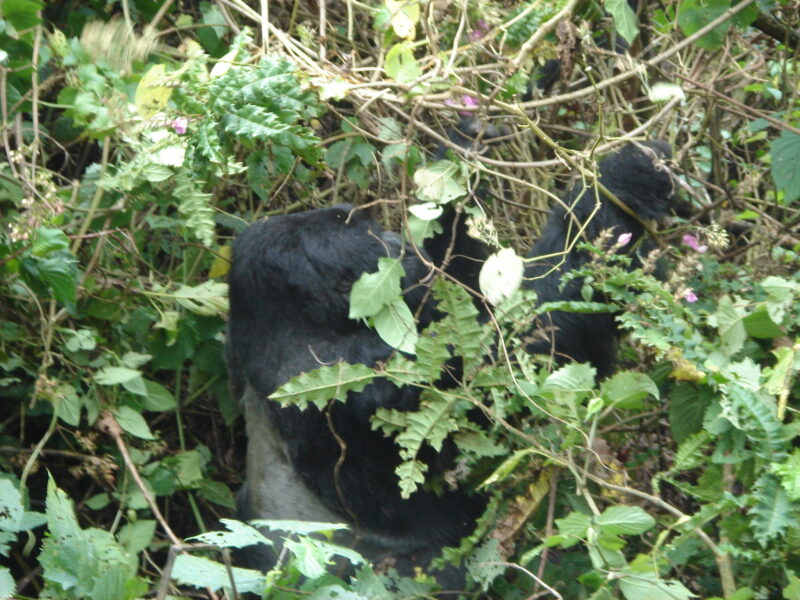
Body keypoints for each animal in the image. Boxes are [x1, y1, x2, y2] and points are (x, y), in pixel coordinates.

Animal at [225, 139, 676, 580]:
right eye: (377, 242)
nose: (399, 242)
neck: (292, 325)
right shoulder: (354, 375)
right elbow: (519, 344)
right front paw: (625, 181)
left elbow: (465, 283)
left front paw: (457, 163)